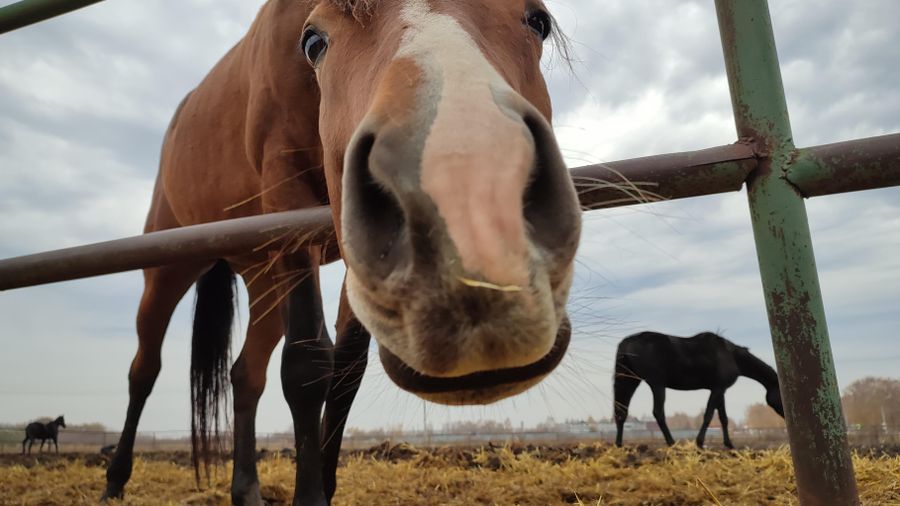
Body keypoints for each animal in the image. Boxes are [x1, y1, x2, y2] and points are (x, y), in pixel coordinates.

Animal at [102, 1, 581, 504]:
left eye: (539, 21)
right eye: (314, 42)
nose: (471, 205)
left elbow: (346, 370)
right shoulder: (288, 205)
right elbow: (307, 366)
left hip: (264, 282)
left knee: (245, 376)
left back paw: (246, 489)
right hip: (168, 267)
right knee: (144, 370)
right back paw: (115, 479)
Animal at [613, 331, 784, 449]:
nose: (786, 417)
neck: (731, 356)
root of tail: (626, 343)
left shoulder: (720, 390)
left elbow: (723, 418)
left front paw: (729, 444)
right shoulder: (717, 389)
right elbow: (708, 415)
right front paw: (699, 443)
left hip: (629, 381)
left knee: (621, 411)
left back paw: (619, 444)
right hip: (657, 384)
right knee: (658, 412)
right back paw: (672, 443)